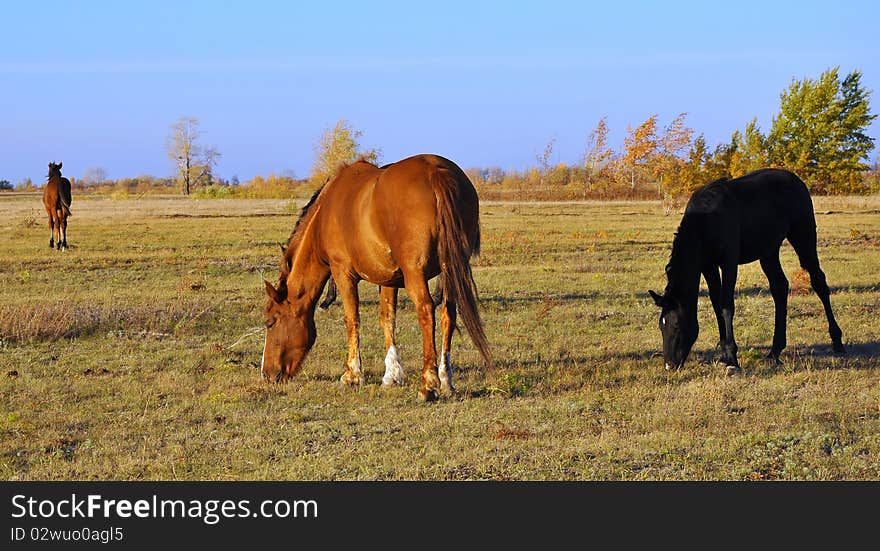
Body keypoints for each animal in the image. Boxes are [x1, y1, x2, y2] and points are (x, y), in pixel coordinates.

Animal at [262, 154, 496, 402]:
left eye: (270, 322)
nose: (267, 374)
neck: (325, 214)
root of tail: (435, 172)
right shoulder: (389, 279)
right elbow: (387, 318)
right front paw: (391, 375)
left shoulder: (343, 272)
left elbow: (352, 319)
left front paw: (352, 375)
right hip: (450, 270)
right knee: (447, 315)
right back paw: (446, 381)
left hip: (416, 273)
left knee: (426, 310)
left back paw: (428, 385)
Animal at [648, 168, 844, 376]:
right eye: (661, 326)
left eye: (676, 325)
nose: (669, 365)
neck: (705, 222)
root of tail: (796, 180)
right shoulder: (708, 266)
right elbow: (716, 303)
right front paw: (724, 355)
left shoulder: (729, 262)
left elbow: (726, 305)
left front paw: (732, 358)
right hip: (769, 251)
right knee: (780, 287)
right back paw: (775, 351)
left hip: (803, 237)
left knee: (818, 282)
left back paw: (837, 341)